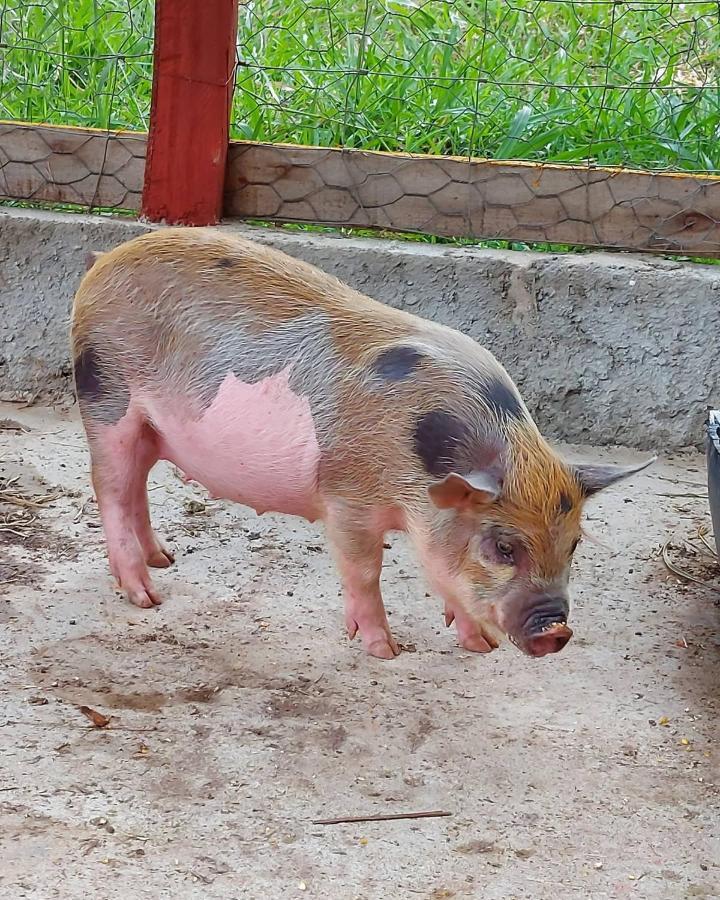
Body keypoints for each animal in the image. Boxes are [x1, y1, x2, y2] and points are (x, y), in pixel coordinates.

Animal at [71, 229, 652, 656]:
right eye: (504, 547)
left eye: (573, 544)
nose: (557, 630)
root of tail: (103, 262)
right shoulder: (345, 496)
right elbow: (365, 570)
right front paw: (385, 651)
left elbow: (446, 578)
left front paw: (480, 647)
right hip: (106, 399)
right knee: (111, 489)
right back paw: (146, 597)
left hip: (148, 428)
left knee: (137, 486)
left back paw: (164, 559)